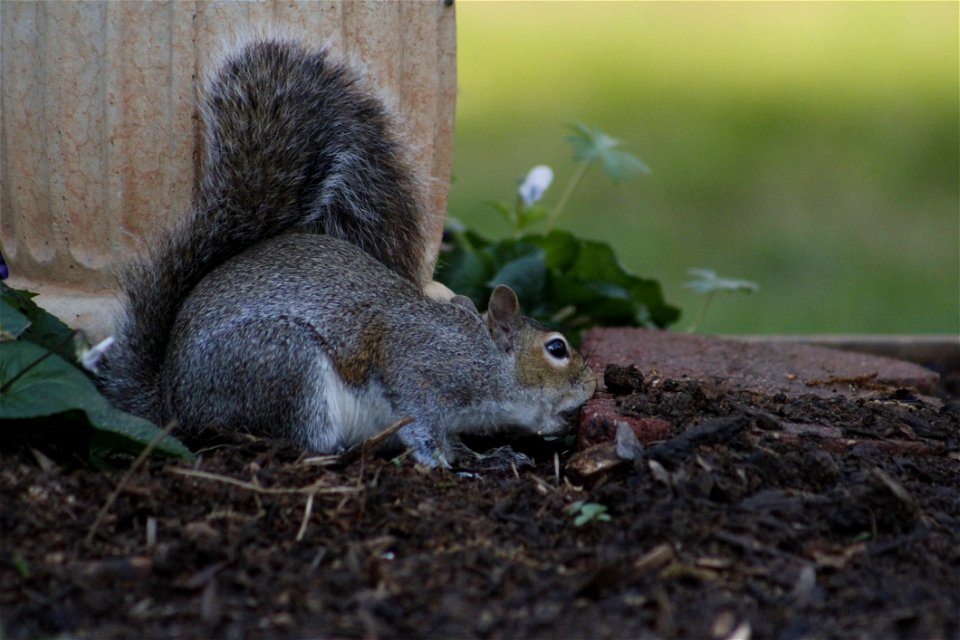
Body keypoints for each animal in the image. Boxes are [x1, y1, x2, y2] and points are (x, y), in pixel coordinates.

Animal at [97, 38, 592, 470]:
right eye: (557, 348)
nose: (592, 384)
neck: (483, 357)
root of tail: (174, 401)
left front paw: (488, 456)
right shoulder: (418, 370)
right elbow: (423, 427)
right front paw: (445, 465)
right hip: (285, 367)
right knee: (297, 439)